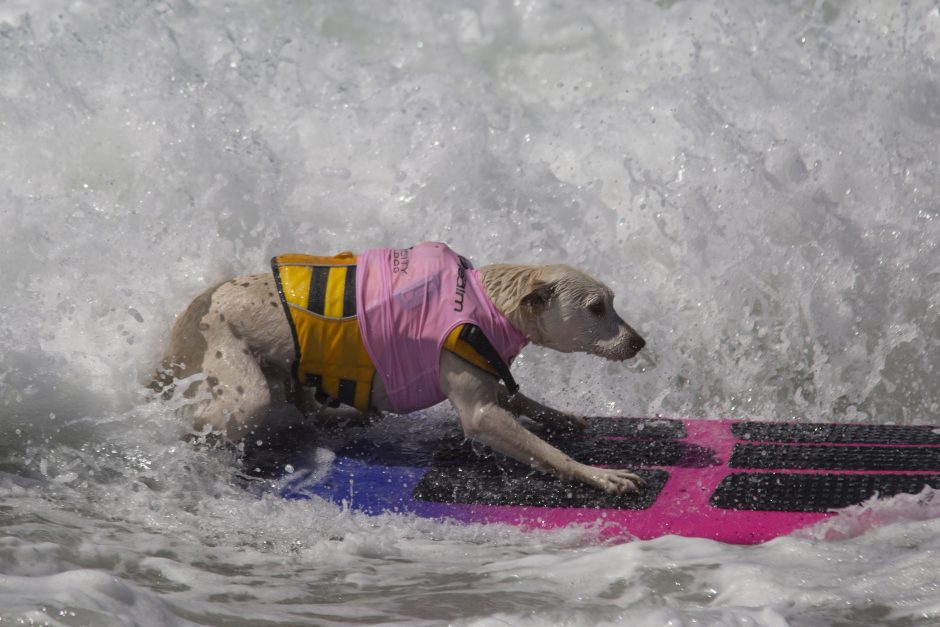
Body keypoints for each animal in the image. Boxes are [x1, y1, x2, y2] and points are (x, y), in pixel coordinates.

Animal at [154, 243, 648, 494]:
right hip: (241, 382)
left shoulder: (488, 372)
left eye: (613, 302)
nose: (639, 342)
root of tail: (187, 316)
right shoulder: (480, 413)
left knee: (305, 404)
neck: (490, 302)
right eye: (596, 307)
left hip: (283, 370)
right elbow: (542, 449)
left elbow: (521, 399)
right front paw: (597, 474)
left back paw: (347, 415)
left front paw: (560, 416)